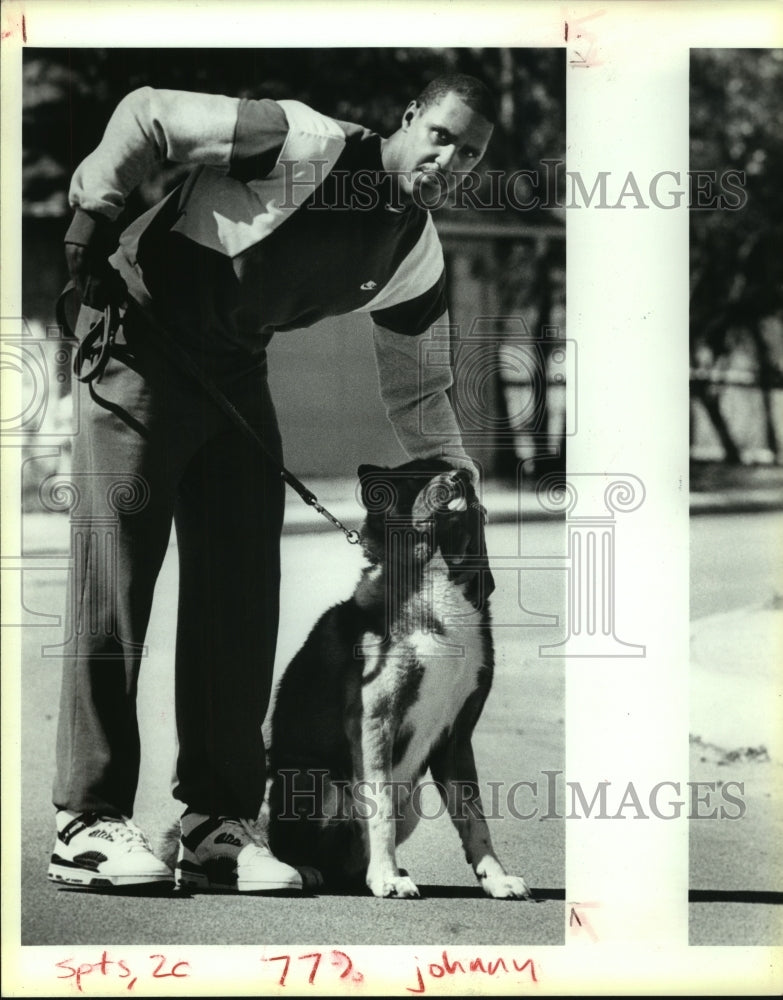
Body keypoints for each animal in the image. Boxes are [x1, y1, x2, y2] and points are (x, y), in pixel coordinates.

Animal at [270, 458, 532, 900]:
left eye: (457, 471)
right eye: (412, 479)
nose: (459, 478)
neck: (436, 574)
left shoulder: (457, 739)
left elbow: (475, 819)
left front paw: (496, 878)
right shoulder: (375, 721)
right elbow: (379, 810)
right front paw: (388, 877)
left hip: (412, 806)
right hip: (316, 780)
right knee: (282, 841)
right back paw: (303, 869)